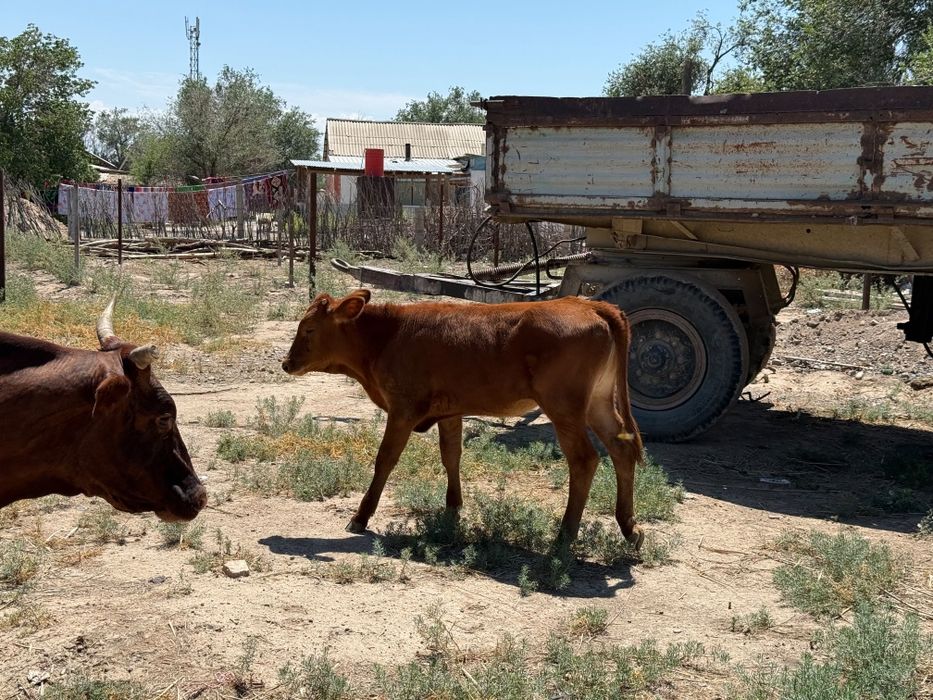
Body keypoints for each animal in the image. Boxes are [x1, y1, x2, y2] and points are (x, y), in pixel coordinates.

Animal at [282, 289, 644, 550]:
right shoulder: (450, 411)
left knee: (584, 460)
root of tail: (591, 305)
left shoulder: (403, 410)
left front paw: (361, 516)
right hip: (598, 403)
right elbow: (451, 455)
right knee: (621, 450)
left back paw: (565, 535)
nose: (287, 363)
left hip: (564, 409)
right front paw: (453, 508)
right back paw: (629, 527)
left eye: (309, 329)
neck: (388, 336)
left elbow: (385, 459)